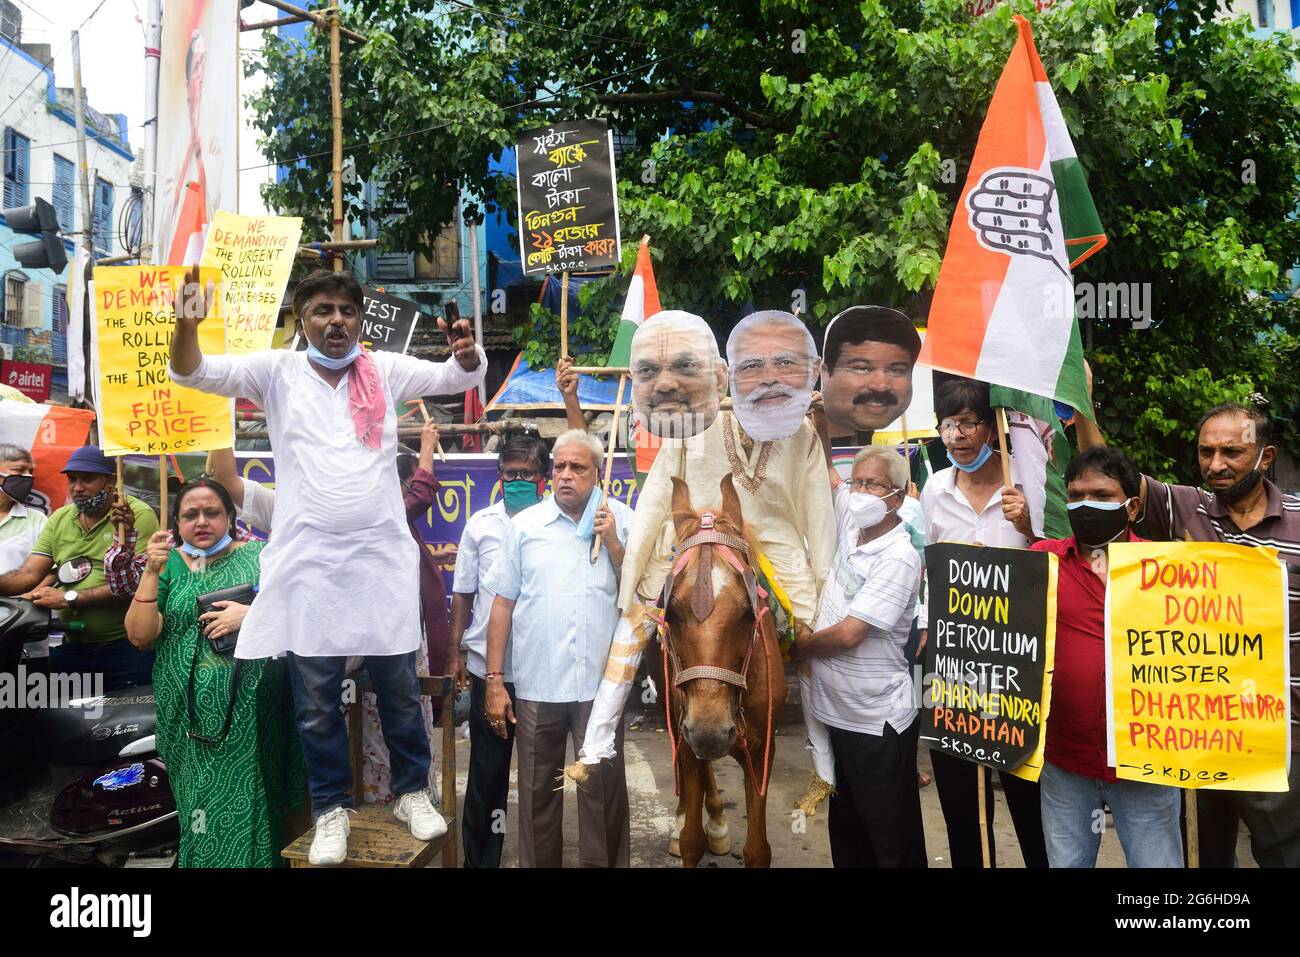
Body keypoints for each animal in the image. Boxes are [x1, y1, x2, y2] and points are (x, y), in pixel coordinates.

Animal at [660, 475, 780, 868]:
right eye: (671, 612)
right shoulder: (687, 737)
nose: (710, 731)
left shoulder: (762, 749)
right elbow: (690, 841)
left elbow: (758, 850)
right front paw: (690, 828)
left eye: (747, 612)